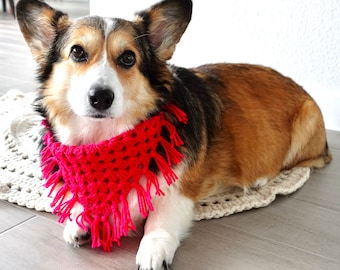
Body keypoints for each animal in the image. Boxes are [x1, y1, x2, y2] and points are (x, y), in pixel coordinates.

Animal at [16, 0, 332, 270]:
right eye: (77, 52)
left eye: (128, 58)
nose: (101, 98)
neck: (103, 141)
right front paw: (81, 223)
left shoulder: (178, 192)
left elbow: (159, 222)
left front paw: (153, 250)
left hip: (305, 125)